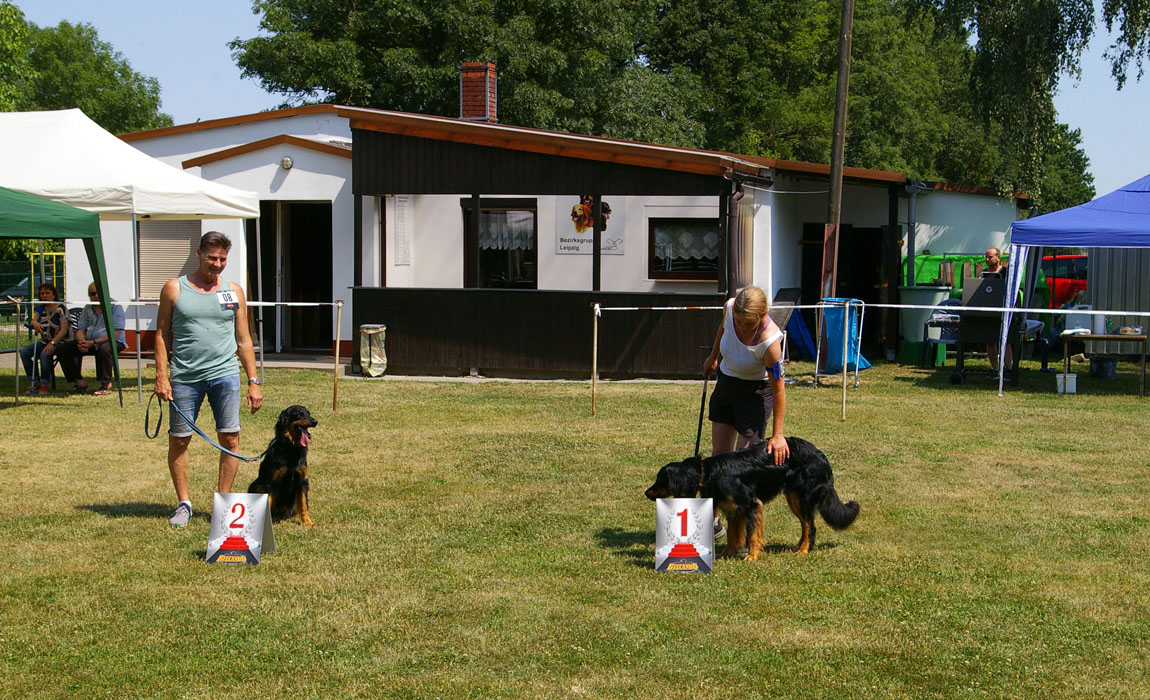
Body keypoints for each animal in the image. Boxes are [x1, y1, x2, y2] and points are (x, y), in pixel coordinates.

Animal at [644, 436, 860, 563]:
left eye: (660, 480)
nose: (646, 493)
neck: (707, 472)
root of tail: (821, 456)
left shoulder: (751, 504)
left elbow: (752, 534)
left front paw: (752, 556)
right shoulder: (733, 509)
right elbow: (734, 536)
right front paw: (725, 555)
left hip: (802, 497)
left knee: (810, 527)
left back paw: (804, 551)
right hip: (793, 498)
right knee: (806, 525)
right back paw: (799, 546)